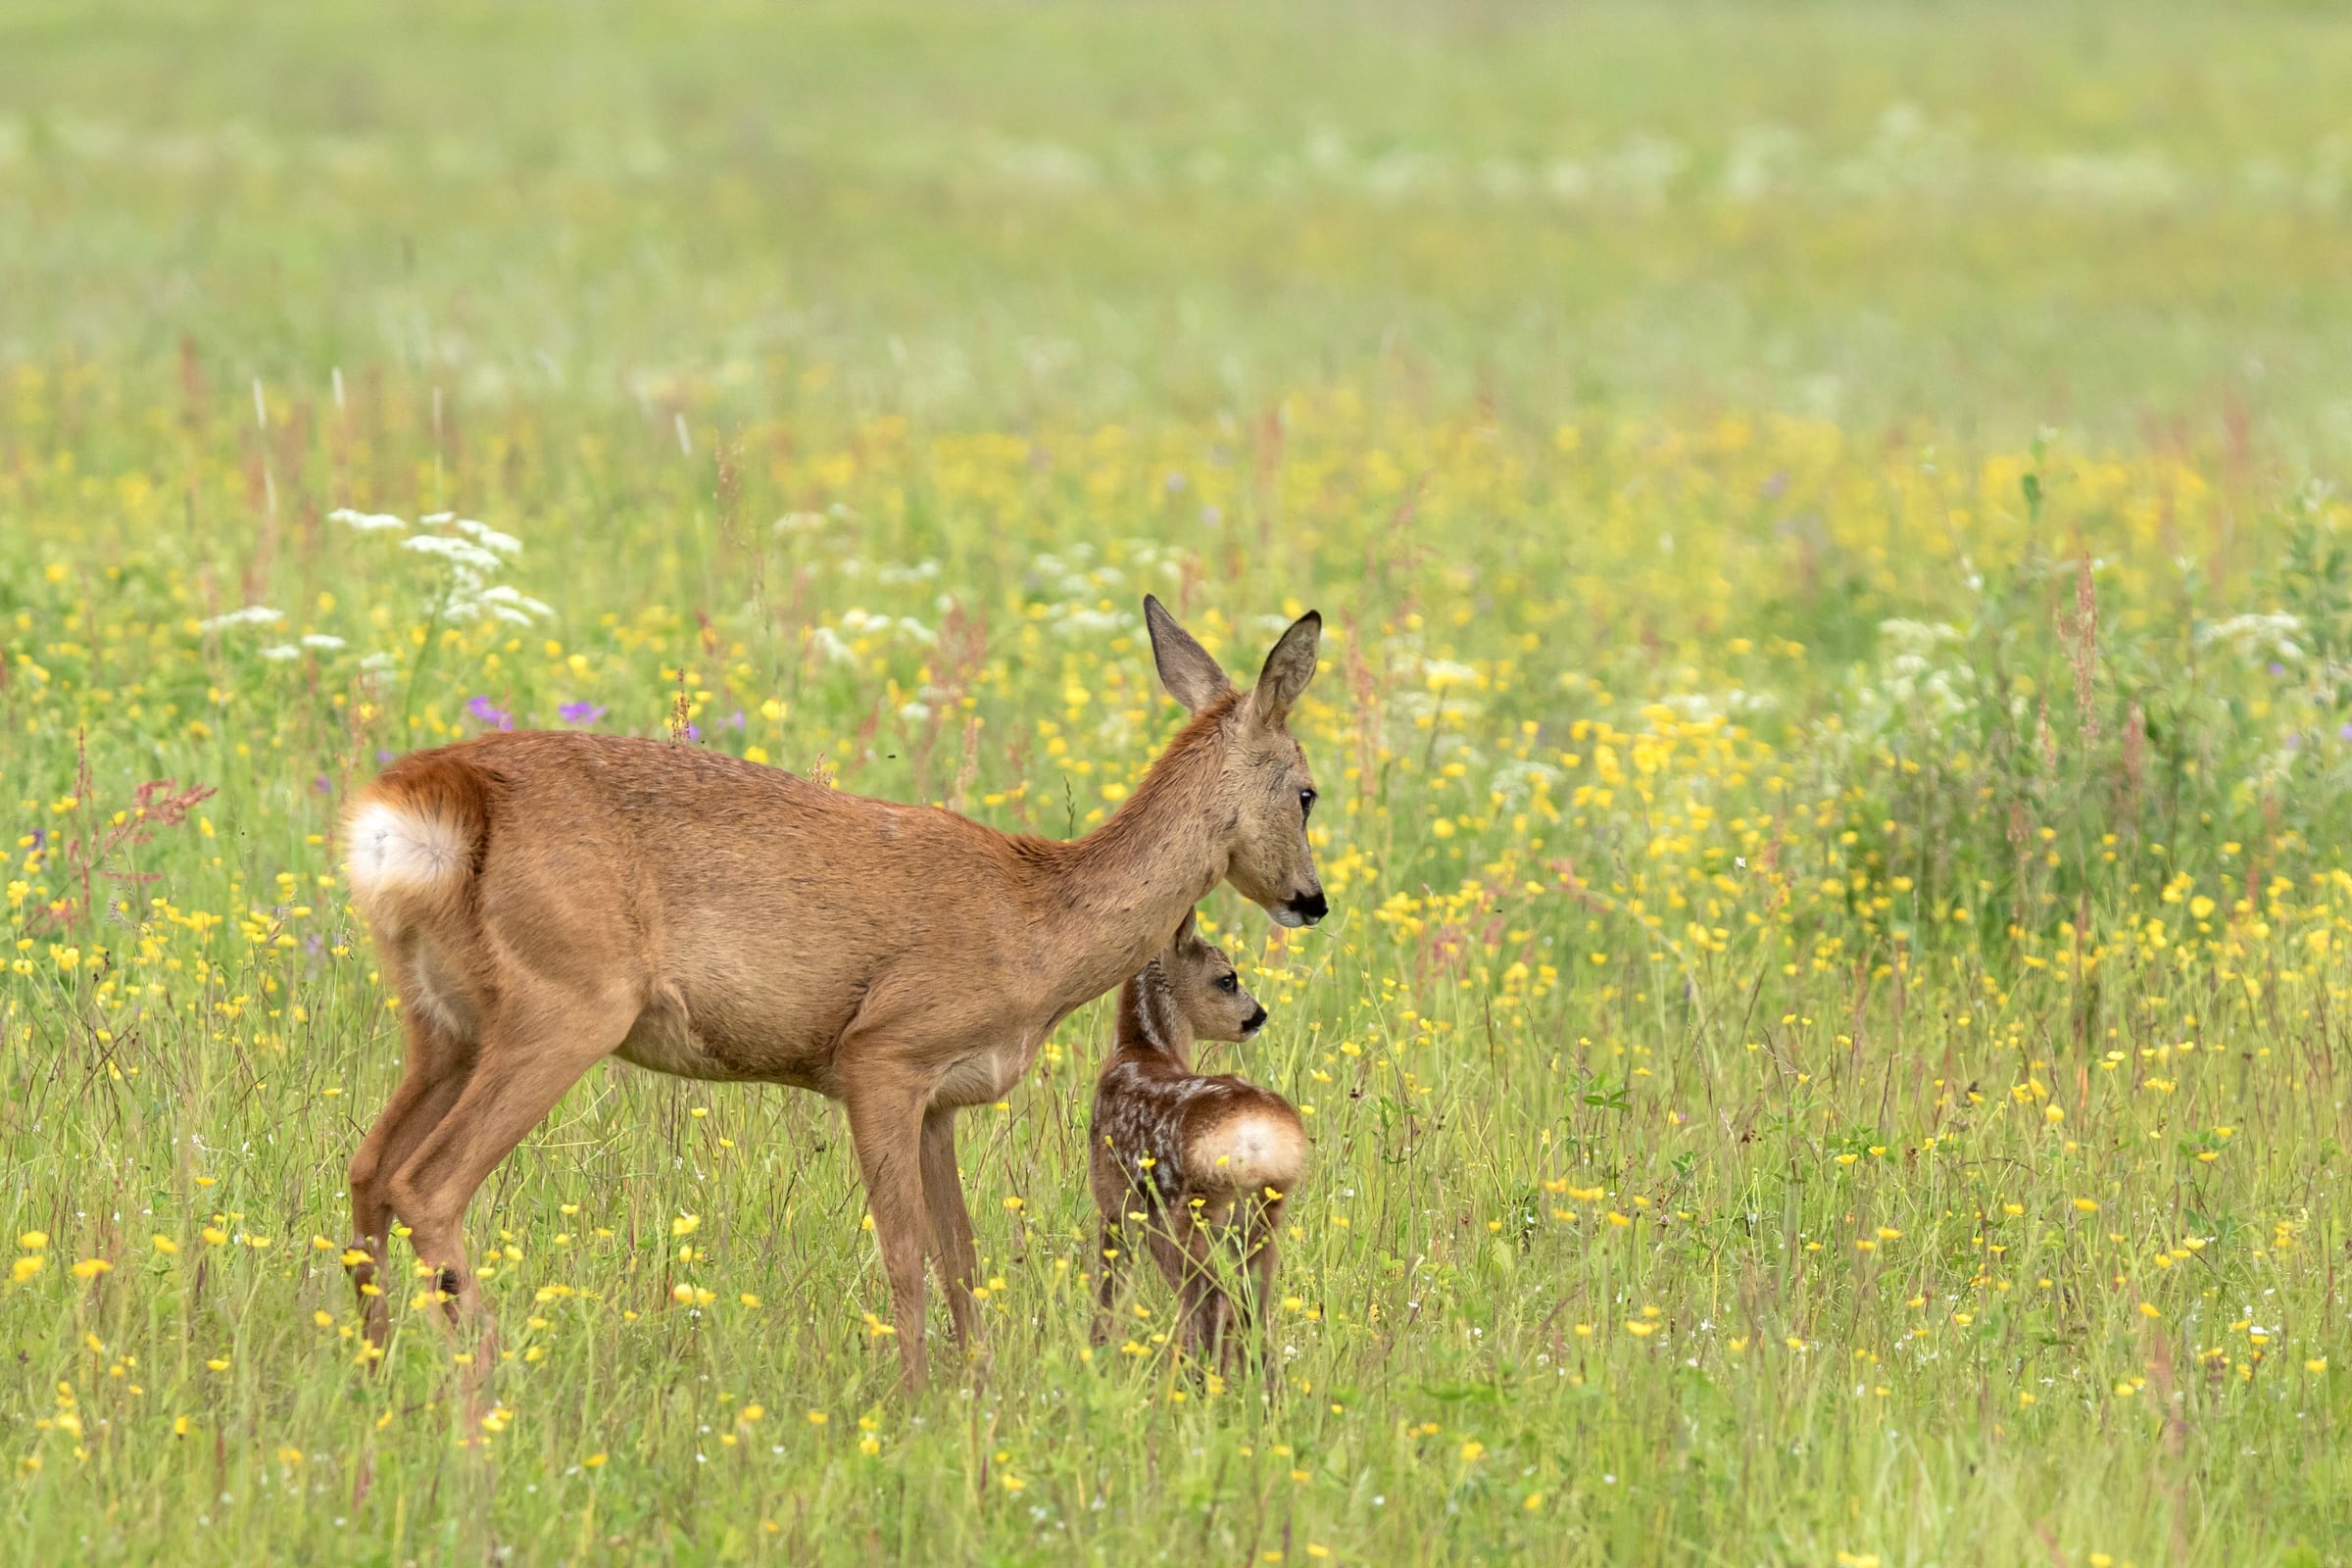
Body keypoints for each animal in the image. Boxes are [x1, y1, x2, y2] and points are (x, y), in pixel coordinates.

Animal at [1089, 910, 1305, 1372]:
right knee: (1254, 1307)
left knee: (1209, 1300)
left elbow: (1109, 1296)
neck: (1144, 1051)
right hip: (1262, 1216)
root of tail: (1257, 1141)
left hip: (1181, 1214)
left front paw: (1096, 1355)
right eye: (1228, 978)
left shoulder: (1111, 1204)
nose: (1259, 1015)